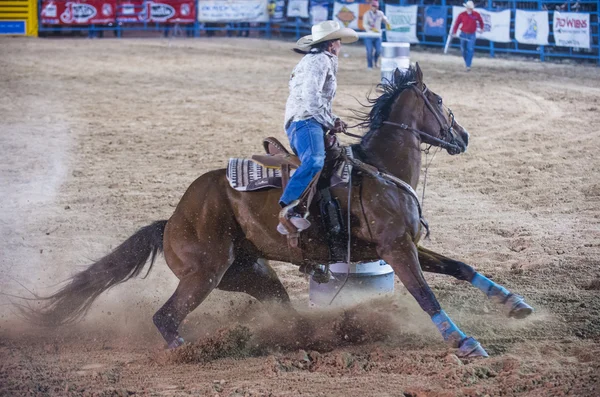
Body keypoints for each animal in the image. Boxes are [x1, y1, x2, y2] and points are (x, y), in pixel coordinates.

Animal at [30, 64, 532, 356]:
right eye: (441, 101)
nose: (463, 136)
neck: (381, 169)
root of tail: (171, 220)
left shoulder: (401, 245)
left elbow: (460, 267)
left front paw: (514, 303)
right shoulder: (396, 249)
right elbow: (426, 294)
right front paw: (463, 341)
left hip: (255, 274)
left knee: (284, 311)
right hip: (204, 274)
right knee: (165, 317)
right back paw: (190, 349)